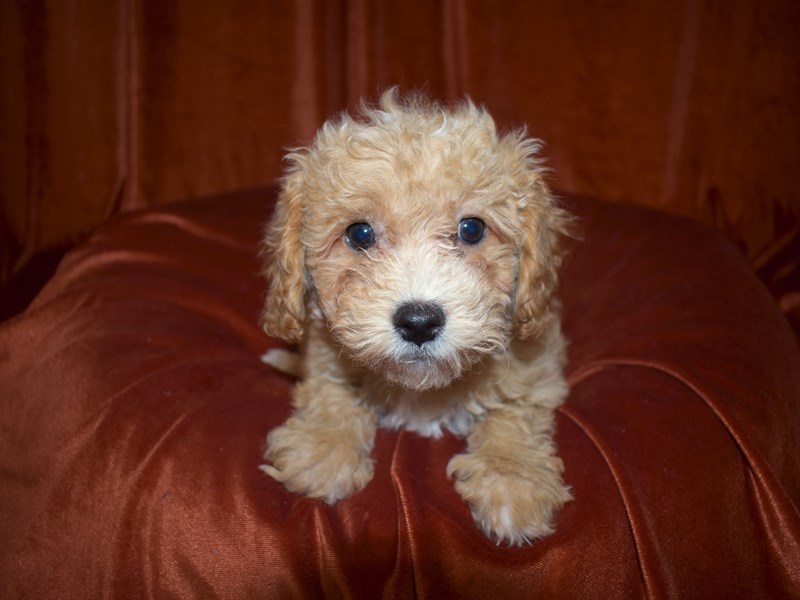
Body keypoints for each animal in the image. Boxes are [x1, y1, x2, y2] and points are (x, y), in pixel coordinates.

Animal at [260, 89, 572, 544]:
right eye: (359, 234)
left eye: (472, 229)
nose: (419, 322)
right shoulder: (322, 356)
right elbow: (330, 391)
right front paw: (322, 447)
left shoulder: (538, 365)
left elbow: (516, 410)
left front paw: (513, 479)